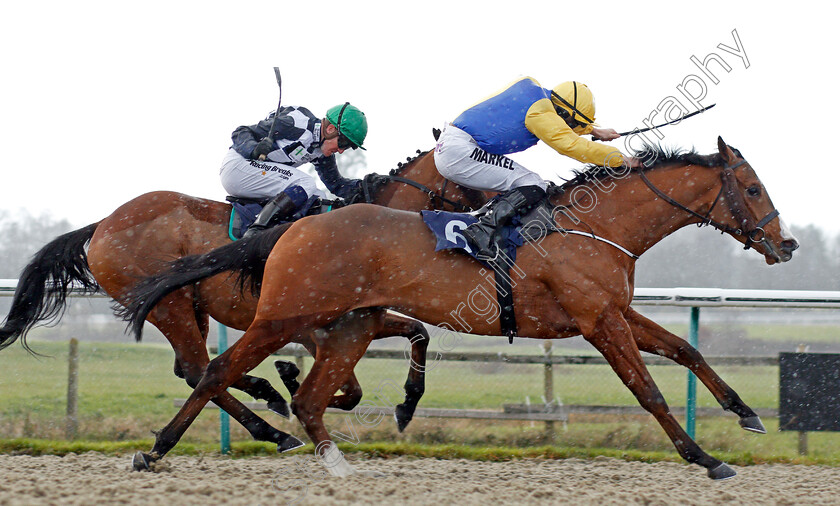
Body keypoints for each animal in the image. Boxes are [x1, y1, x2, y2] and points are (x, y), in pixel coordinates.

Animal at [0, 148, 486, 448]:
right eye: (472, 182)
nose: (487, 220)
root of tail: (103, 223)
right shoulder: (314, 328)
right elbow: (349, 389)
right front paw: (291, 383)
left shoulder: (354, 320)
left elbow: (412, 336)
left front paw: (402, 405)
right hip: (170, 307)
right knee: (198, 368)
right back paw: (271, 428)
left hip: (189, 309)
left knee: (193, 369)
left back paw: (267, 400)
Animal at [124, 137, 800, 478]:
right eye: (752, 188)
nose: (786, 243)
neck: (593, 227)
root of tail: (294, 226)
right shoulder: (598, 320)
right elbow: (648, 390)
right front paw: (705, 458)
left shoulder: (617, 311)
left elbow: (686, 349)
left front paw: (745, 413)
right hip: (283, 316)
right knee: (217, 370)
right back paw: (158, 449)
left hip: (351, 324)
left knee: (311, 397)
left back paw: (335, 462)